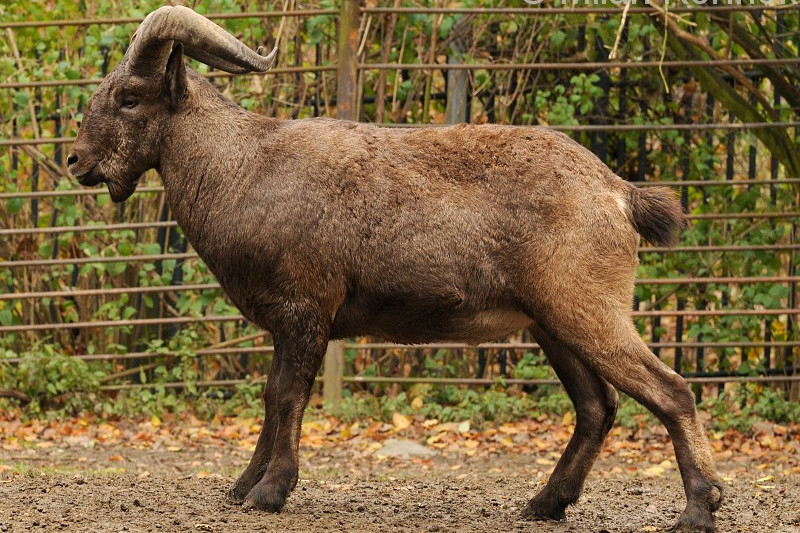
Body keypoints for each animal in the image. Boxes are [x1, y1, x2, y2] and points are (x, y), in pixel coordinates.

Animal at [68, 6, 722, 532]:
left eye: (130, 97)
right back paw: (545, 502)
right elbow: (271, 396)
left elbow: (287, 395)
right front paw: (242, 484)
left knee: (671, 390)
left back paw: (698, 508)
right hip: (551, 323)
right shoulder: (287, 322)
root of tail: (620, 194)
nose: (76, 161)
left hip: (587, 308)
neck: (245, 167)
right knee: (597, 407)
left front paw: (270, 491)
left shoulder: (305, 309)